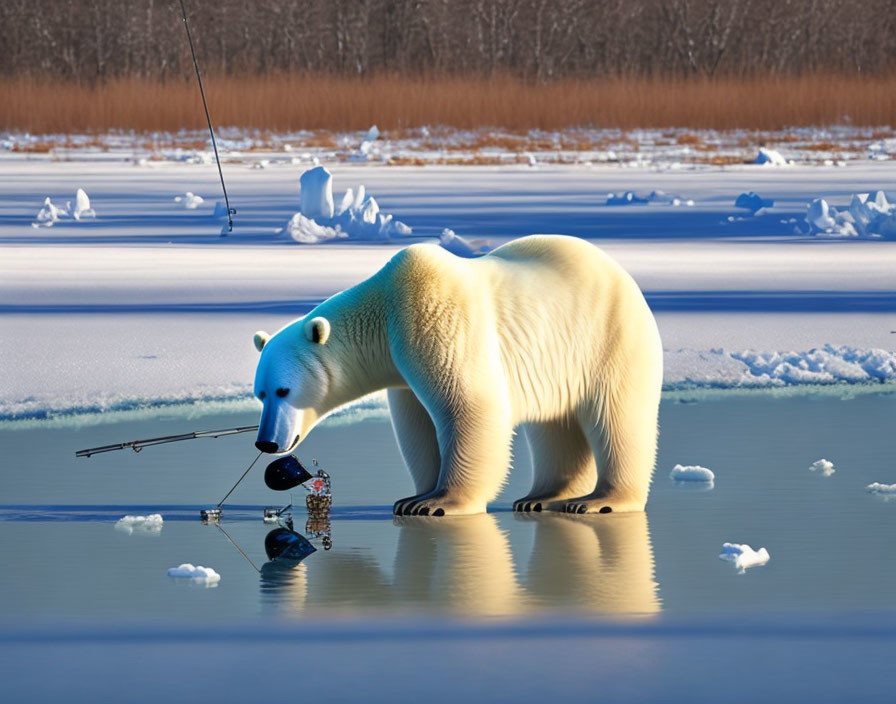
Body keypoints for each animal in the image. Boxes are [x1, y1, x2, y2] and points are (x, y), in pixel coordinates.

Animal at [256, 234, 660, 516]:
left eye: (283, 390)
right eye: (261, 393)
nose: (266, 443)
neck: (385, 309)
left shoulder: (434, 317)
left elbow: (468, 404)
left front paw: (439, 503)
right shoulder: (400, 370)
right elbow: (417, 426)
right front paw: (414, 496)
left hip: (608, 338)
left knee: (618, 417)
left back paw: (601, 500)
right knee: (555, 425)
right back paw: (542, 497)